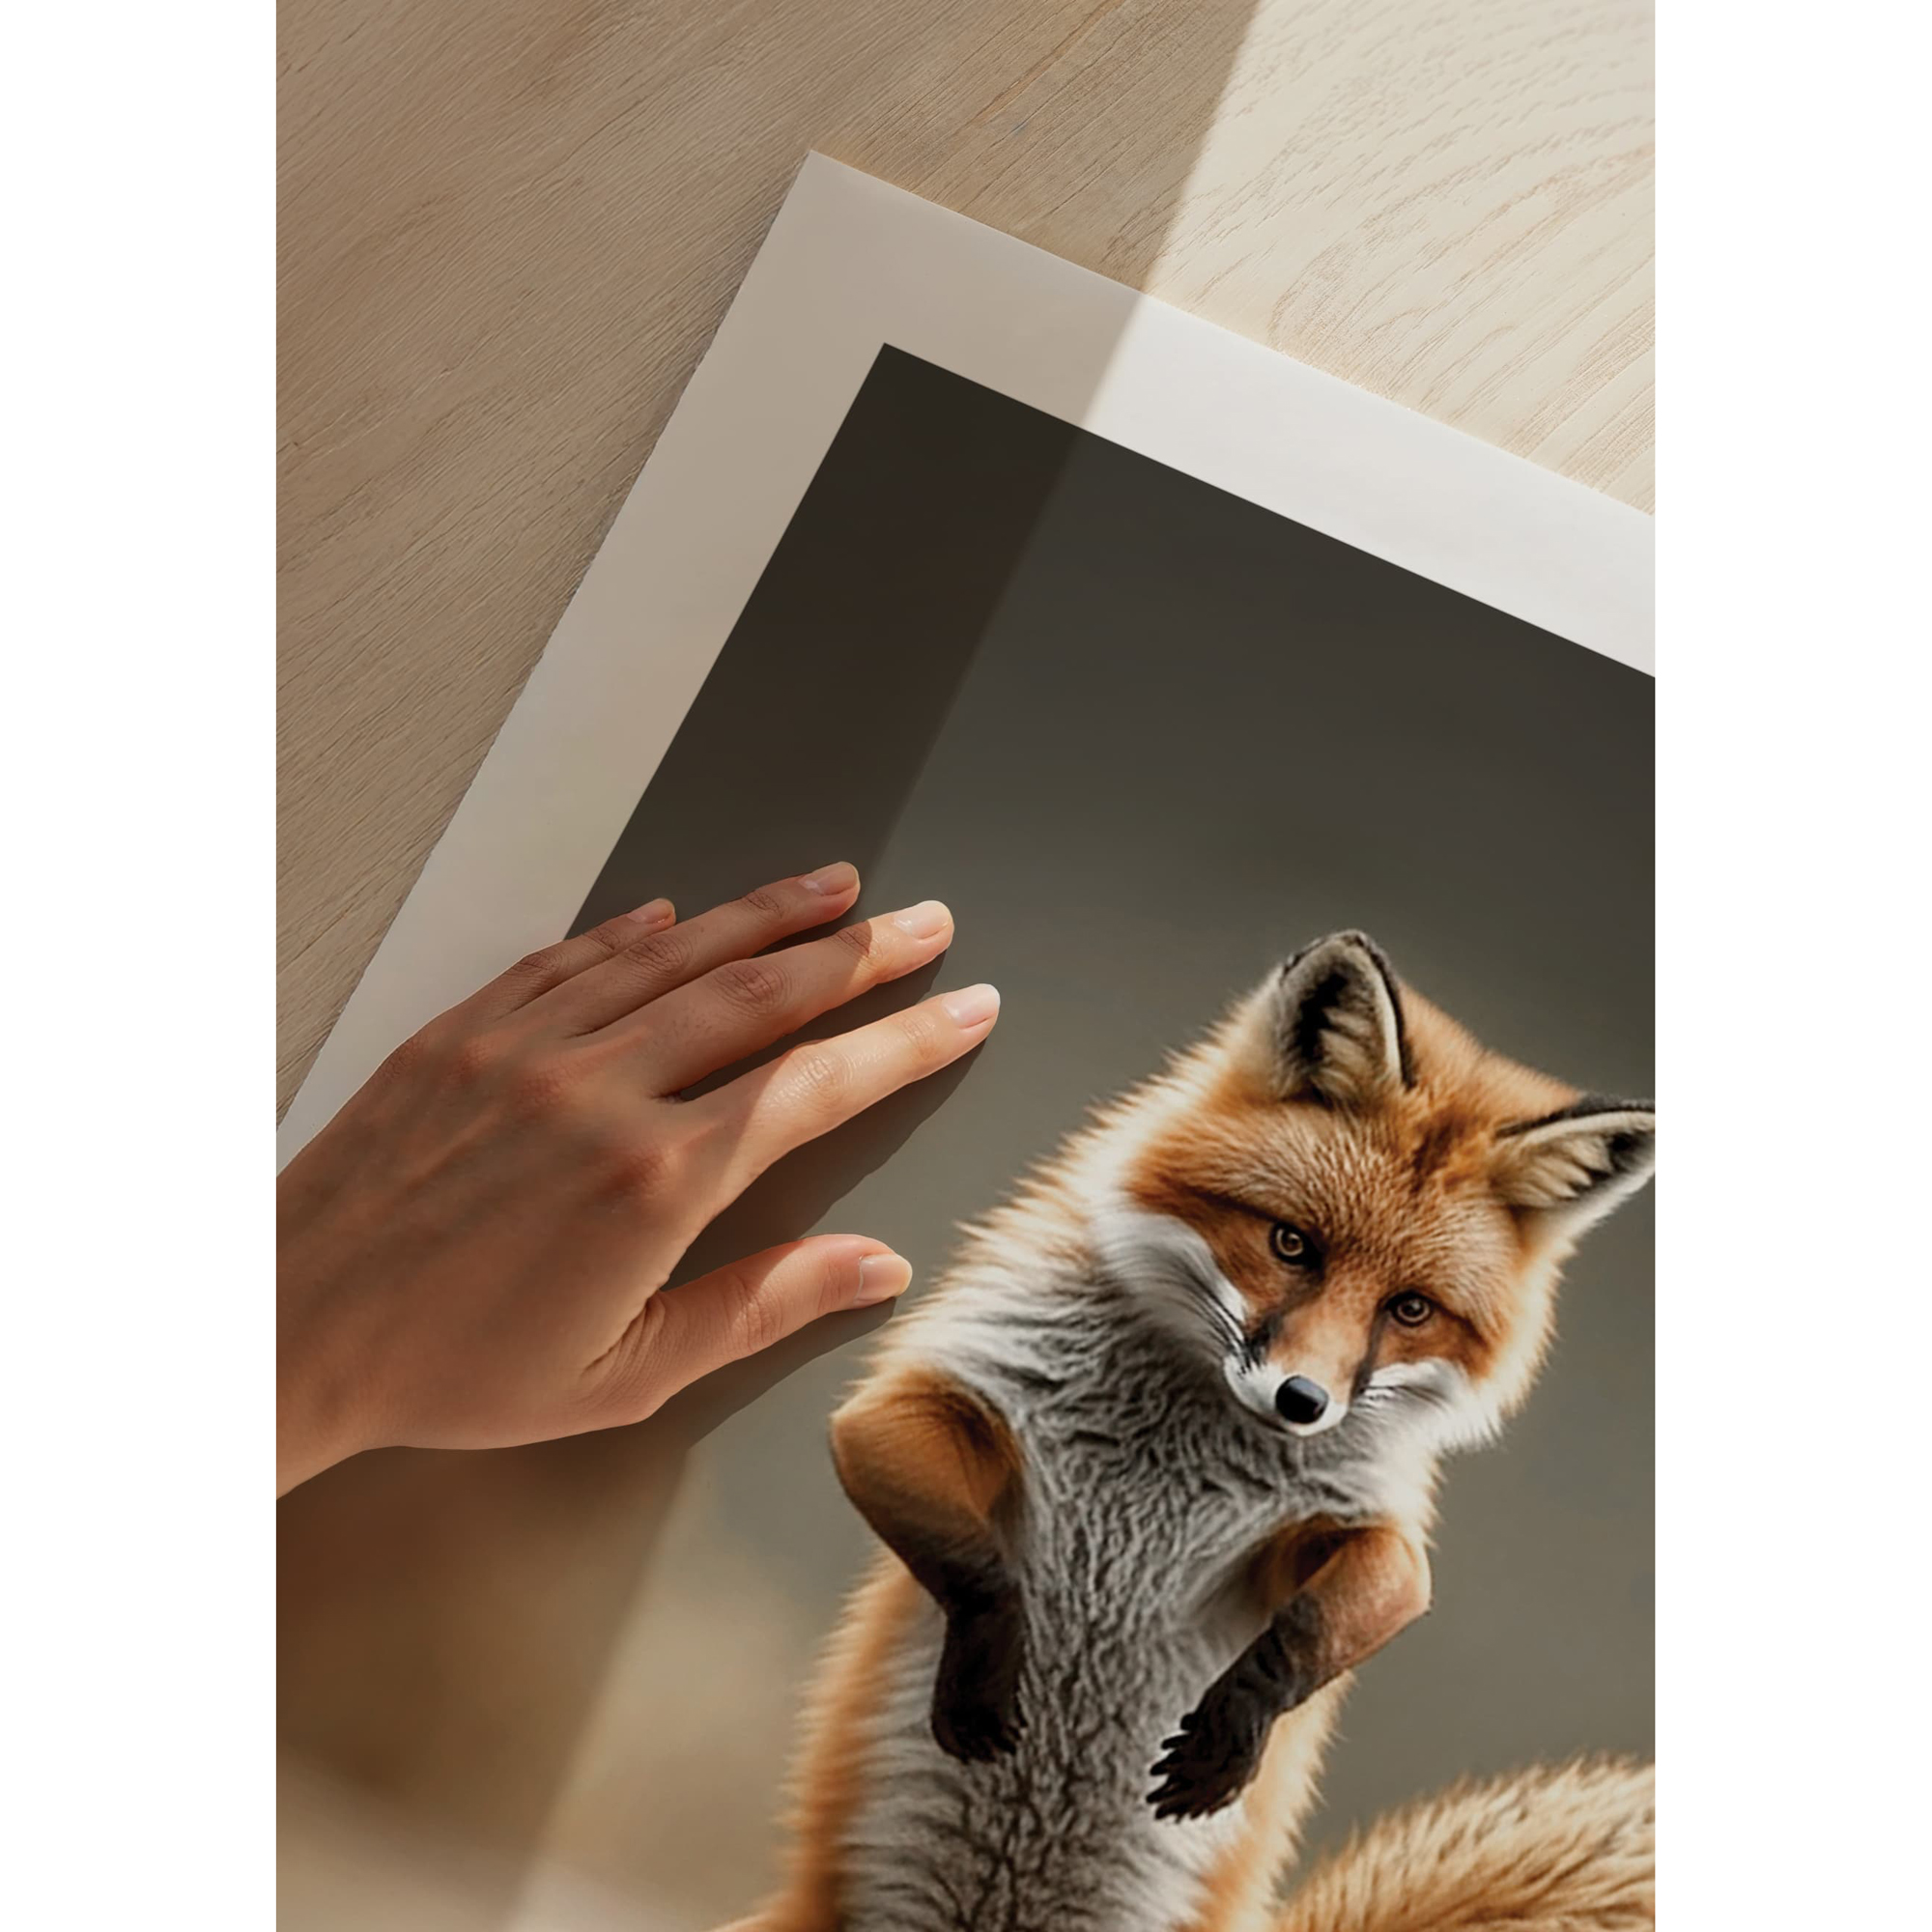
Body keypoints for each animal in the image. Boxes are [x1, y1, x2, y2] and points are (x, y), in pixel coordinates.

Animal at [725, 931, 1656, 1932]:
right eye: (1293, 1244)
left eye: (1410, 1309)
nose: (1302, 1401)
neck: (1169, 1454)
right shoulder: (935, 1396)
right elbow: (975, 1567)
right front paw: (992, 1666)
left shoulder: (1369, 1533)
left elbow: (1313, 1628)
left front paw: (1232, 1729)